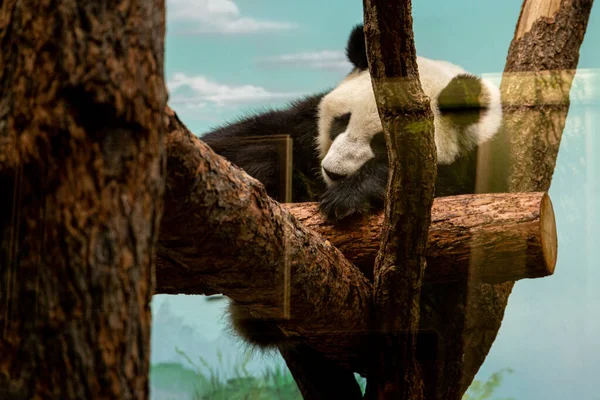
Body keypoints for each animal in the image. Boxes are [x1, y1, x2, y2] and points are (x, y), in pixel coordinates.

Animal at [200, 24, 502, 350]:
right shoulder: (301, 123)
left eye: (383, 143)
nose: (334, 172)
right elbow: (230, 142)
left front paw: (347, 198)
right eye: (342, 121)